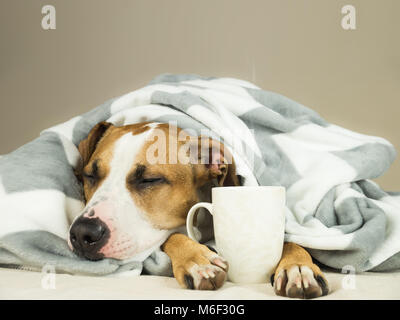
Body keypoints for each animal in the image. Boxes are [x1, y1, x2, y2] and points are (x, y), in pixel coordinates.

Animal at [69, 121, 328, 298]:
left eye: (149, 180)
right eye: (89, 175)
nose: (83, 233)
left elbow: (289, 240)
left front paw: (298, 267)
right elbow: (173, 236)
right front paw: (197, 259)